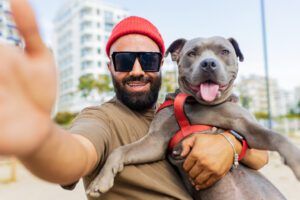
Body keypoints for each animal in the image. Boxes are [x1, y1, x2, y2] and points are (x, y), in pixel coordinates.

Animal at [86, 36, 300, 199]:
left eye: (224, 51)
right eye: (191, 53)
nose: (208, 63)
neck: (199, 104)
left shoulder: (246, 125)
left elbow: (276, 136)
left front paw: (296, 160)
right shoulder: (155, 141)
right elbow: (119, 151)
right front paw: (101, 180)